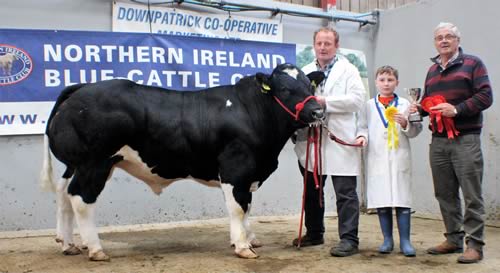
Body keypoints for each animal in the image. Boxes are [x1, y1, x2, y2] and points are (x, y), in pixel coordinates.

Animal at [41, 63, 326, 260]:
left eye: (310, 86)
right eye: (285, 89)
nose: (318, 111)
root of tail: (82, 87)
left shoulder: (250, 173)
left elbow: (247, 206)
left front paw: (249, 238)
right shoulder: (236, 168)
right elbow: (238, 207)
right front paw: (243, 246)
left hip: (78, 164)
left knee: (63, 195)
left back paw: (68, 244)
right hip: (95, 163)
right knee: (81, 199)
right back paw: (95, 249)